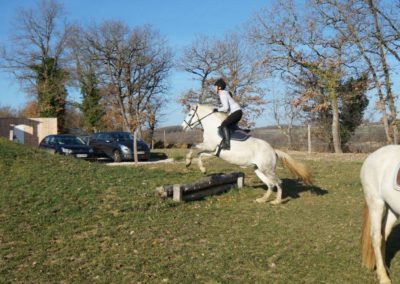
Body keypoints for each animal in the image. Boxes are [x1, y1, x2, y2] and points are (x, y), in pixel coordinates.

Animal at [182, 104, 312, 204]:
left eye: (189, 114)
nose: (183, 127)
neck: (213, 127)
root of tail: (273, 150)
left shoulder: (209, 146)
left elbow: (195, 148)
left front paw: (193, 164)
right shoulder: (213, 151)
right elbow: (198, 152)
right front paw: (197, 167)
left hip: (267, 170)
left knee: (278, 183)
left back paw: (276, 201)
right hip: (259, 170)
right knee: (270, 185)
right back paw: (262, 200)